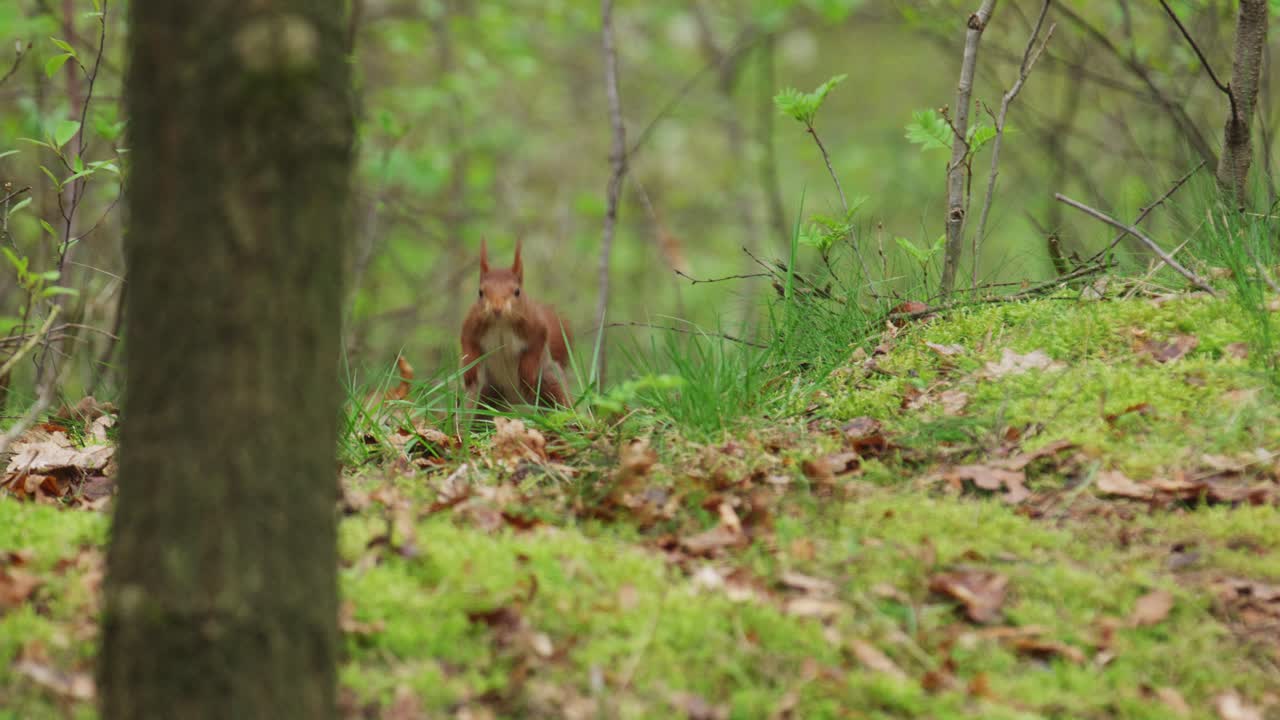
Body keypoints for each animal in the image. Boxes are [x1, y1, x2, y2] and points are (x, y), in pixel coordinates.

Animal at [460, 238, 571, 414]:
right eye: (480, 292)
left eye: (517, 292)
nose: (497, 309)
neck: (501, 324)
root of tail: (516, 402)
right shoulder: (472, 322)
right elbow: (467, 341)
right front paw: (469, 369)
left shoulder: (535, 324)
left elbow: (538, 342)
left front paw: (527, 371)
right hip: (486, 392)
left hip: (549, 379)